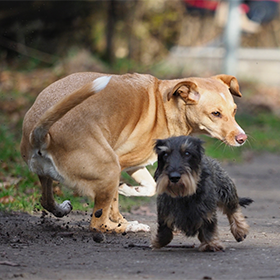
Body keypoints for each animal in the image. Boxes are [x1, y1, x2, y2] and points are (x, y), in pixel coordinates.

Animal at [20, 71, 247, 233]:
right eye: (215, 114)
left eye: (235, 111)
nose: (242, 138)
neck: (166, 107)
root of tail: (41, 134)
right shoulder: (122, 161)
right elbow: (117, 203)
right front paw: (123, 202)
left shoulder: (136, 165)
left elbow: (150, 187)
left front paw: (130, 190)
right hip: (110, 168)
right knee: (97, 224)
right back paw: (130, 227)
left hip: (46, 175)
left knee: (46, 200)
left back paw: (63, 209)